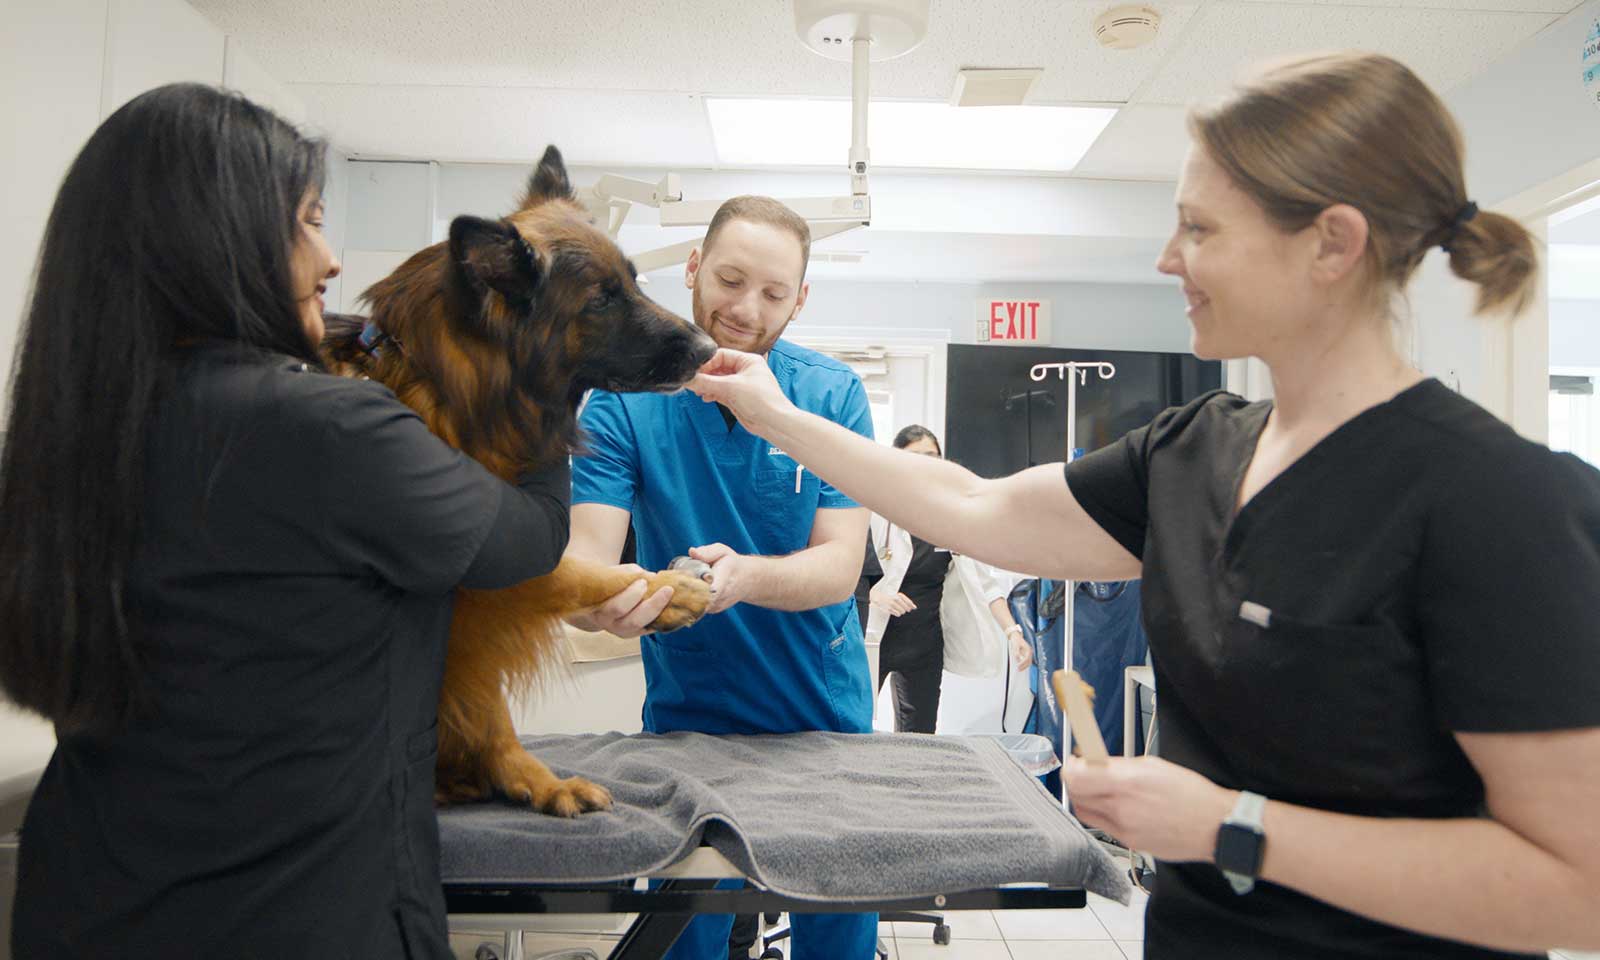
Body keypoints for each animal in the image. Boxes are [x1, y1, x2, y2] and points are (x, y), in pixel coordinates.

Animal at [324, 146, 720, 812]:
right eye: (602, 299)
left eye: (634, 281)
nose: (710, 347)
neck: (442, 383)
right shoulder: (489, 556)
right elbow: (582, 574)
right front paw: (671, 589)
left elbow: (491, 706)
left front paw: (527, 778)